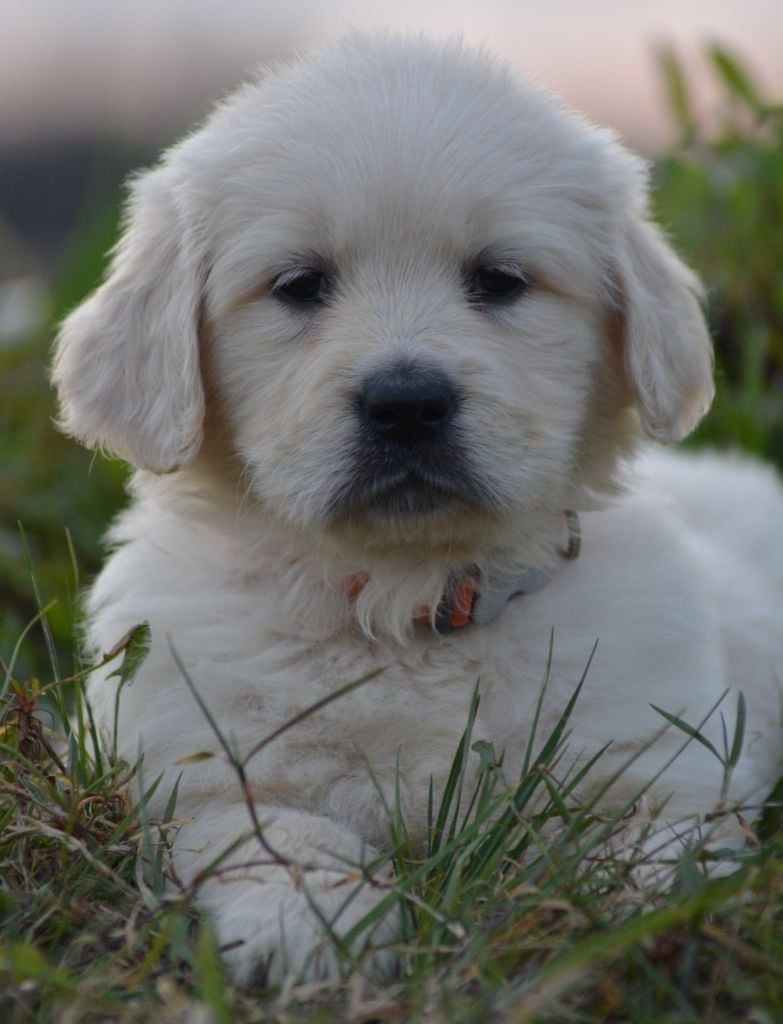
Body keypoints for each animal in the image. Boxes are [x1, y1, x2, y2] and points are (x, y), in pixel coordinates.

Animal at [51, 34, 777, 983]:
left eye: (499, 281)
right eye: (299, 285)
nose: (405, 403)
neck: (413, 601)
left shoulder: (661, 757)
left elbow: (659, 844)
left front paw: (658, 919)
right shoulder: (190, 762)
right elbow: (270, 832)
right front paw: (312, 921)